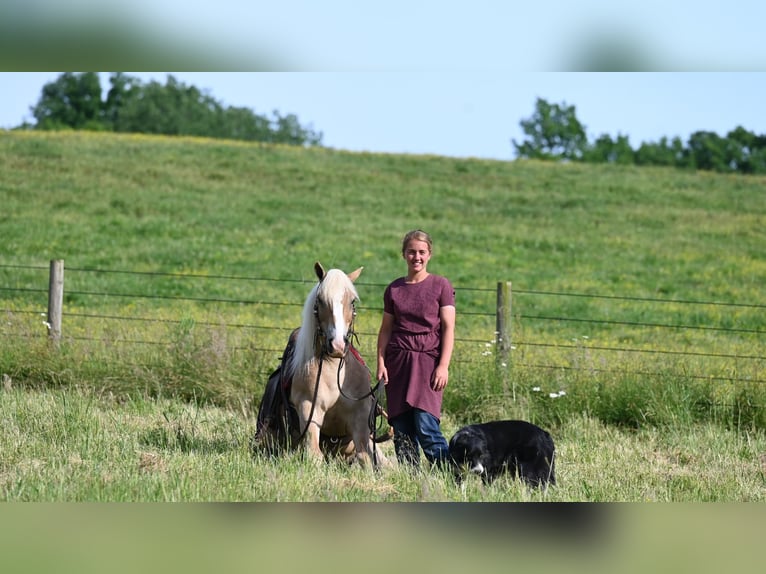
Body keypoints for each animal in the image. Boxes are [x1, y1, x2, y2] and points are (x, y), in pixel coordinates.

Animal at [255, 264, 390, 470]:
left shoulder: (360, 416)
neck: (335, 371)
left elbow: (366, 457)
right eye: (320, 301)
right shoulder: (309, 407)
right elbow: (314, 455)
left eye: (352, 301)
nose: (337, 345)